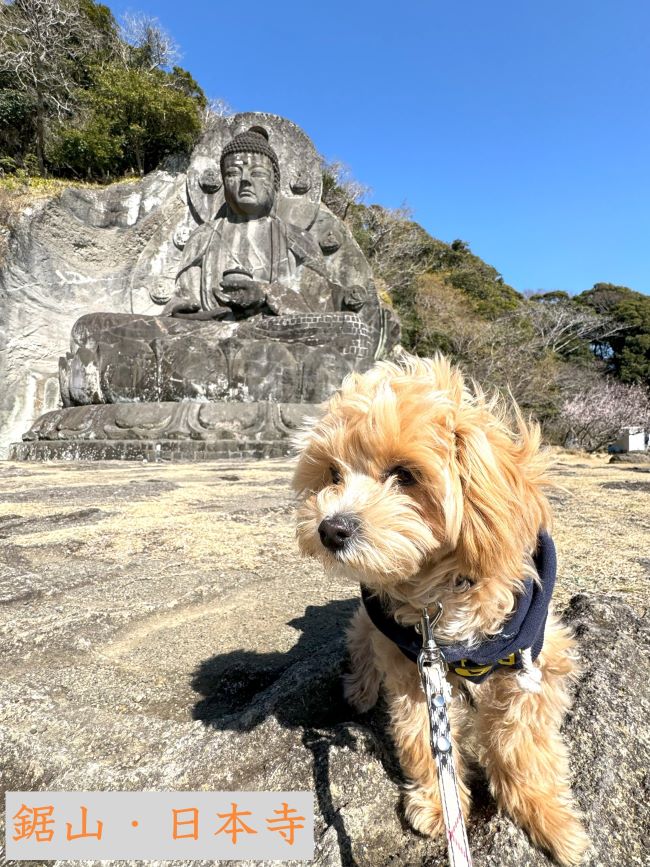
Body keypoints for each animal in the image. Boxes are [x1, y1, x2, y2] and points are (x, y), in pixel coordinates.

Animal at [294, 354, 588, 867]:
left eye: (405, 474)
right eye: (332, 474)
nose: (330, 529)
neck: (442, 593)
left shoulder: (533, 661)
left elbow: (524, 744)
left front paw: (550, 819)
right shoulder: (411, 663)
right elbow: (422, 737)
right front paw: (438, 804)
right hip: (371, 627)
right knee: (360, 641)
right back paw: (360, 689)